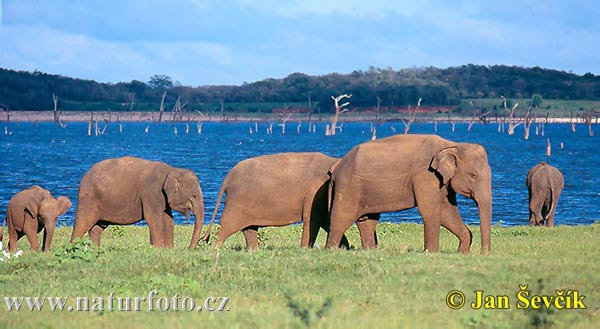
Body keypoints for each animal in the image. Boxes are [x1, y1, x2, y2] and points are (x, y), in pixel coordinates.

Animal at [71, 156, 204, 246]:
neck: (171, 169)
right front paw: (157, 249)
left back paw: (96, 250)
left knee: (97, 228)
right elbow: (154, 220)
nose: (189, 249)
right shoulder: (151, 193)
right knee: (82, 224)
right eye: (194, 196)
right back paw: (72, 248)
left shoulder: (163, 198)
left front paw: (168, 250)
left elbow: (168, 220)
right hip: (89, 198)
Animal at [203, 152, 352, 250]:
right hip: (237, 201)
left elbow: (325, 219)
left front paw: (344, 247)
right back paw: (214, 250)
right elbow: (313, 219)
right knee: (226, 226)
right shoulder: (315, 192)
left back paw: (252, 251)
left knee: (249, 228)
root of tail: (227, 178)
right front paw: (305, 250)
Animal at [324, 133, 492, 254]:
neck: (451, 144)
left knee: (367, 220)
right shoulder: (425, 175)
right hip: (348, 187)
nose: (484, 253)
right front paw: (431, 253)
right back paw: (331, 250)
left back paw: (371, 251)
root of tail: (337, 167)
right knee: (341, 217)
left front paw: (462, 251)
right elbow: (430, 211)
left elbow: (447, 211)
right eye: (473, 176)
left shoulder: (442, 181)